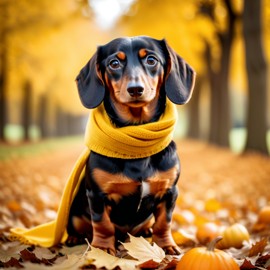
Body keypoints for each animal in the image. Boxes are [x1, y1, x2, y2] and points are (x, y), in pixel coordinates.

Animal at [66, 35, 195, 255]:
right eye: (114, 63)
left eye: (151, 60)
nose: (135, 89)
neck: (137, 135)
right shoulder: (97, 196)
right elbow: (102, 224)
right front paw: (102, 249)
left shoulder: (170, 192)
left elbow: (164, 222)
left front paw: (166, 245)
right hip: (74, 213)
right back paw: (74, 237)